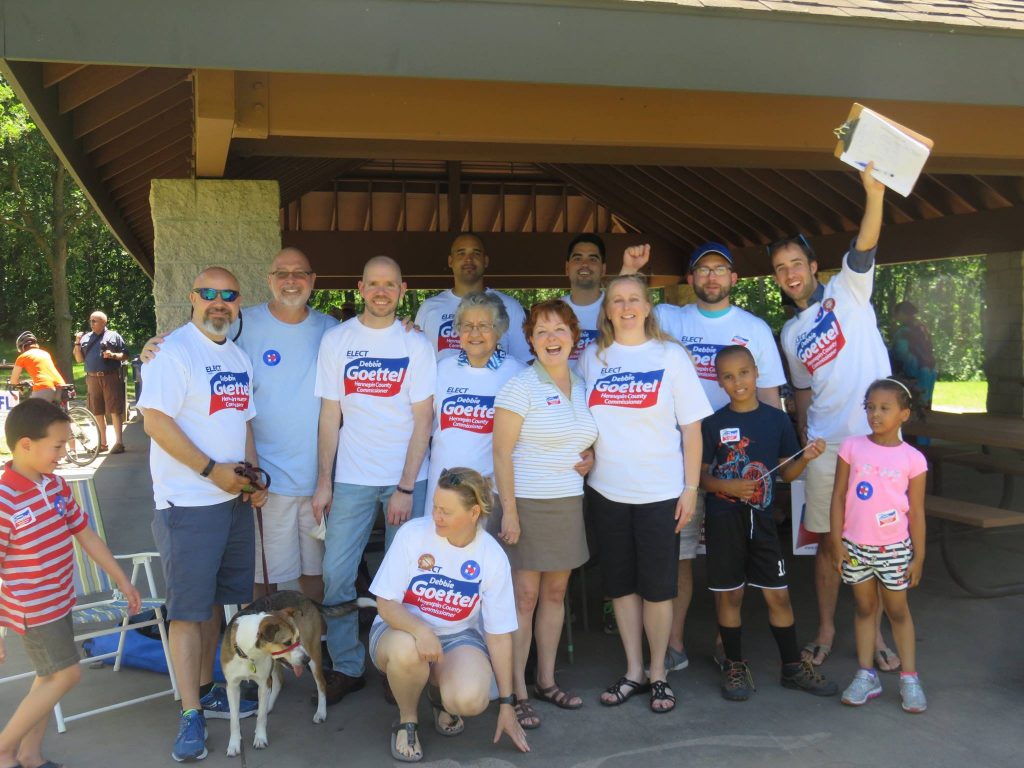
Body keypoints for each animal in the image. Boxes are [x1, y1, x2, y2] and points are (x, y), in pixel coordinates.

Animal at [220, 593, 376, 761]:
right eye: (287, 642)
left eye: (298, 638)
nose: (306, 659)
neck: (249, 654)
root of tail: (304, 596)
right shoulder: (232, 687)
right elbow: (234, 720)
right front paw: (234, 745)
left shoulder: (263, 682)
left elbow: (261, 717)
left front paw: (260, 738)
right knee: (279, 682)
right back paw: (268, 706)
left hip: (313, 653)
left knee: (321, 684)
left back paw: (321, 712)